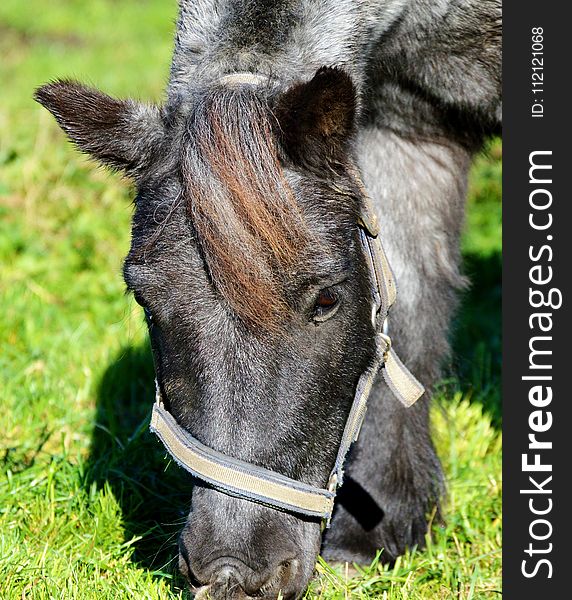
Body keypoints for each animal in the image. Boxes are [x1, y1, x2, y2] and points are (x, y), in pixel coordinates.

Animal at [34, 0, 500, 596]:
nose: (232, 573)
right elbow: (412, 311)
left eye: (326, 300)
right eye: (143, 299)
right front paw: (375, 534)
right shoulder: (412, 128)